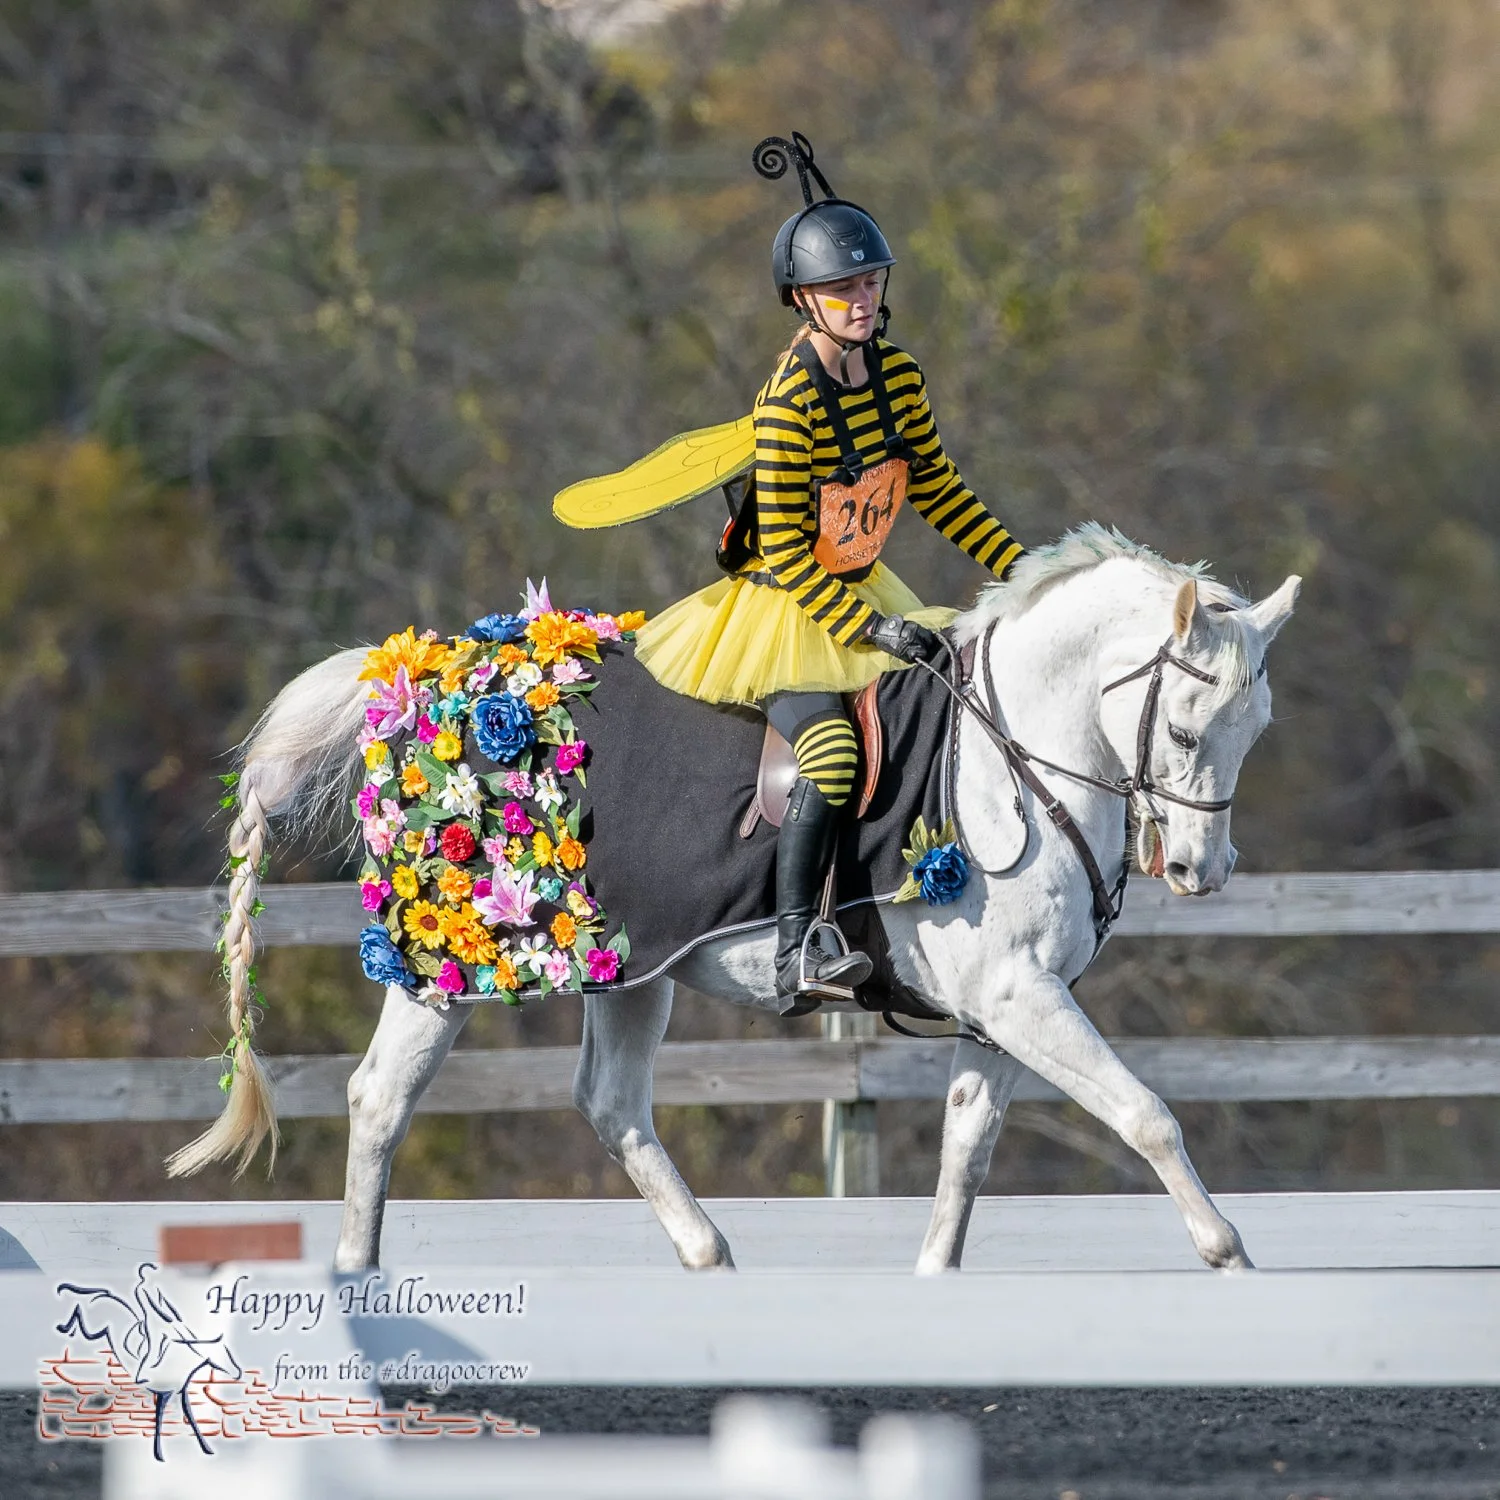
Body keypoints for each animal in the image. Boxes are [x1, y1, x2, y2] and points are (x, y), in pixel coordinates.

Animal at [166, 525, 1299, 1275]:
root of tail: (426, 676)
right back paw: (357, 1277)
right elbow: (1145, 1113)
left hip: (629, 971)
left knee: (611, 1105)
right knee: (379, 1099)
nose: (1201, 872)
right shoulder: (1020, 997)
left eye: (1258, 729)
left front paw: (936, 1281)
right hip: (445, 968)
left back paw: (708, 1254)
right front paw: (1227, 1250)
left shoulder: (1002, 1011)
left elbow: (966, 1154)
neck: (1009, 751)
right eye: (1186, 729)